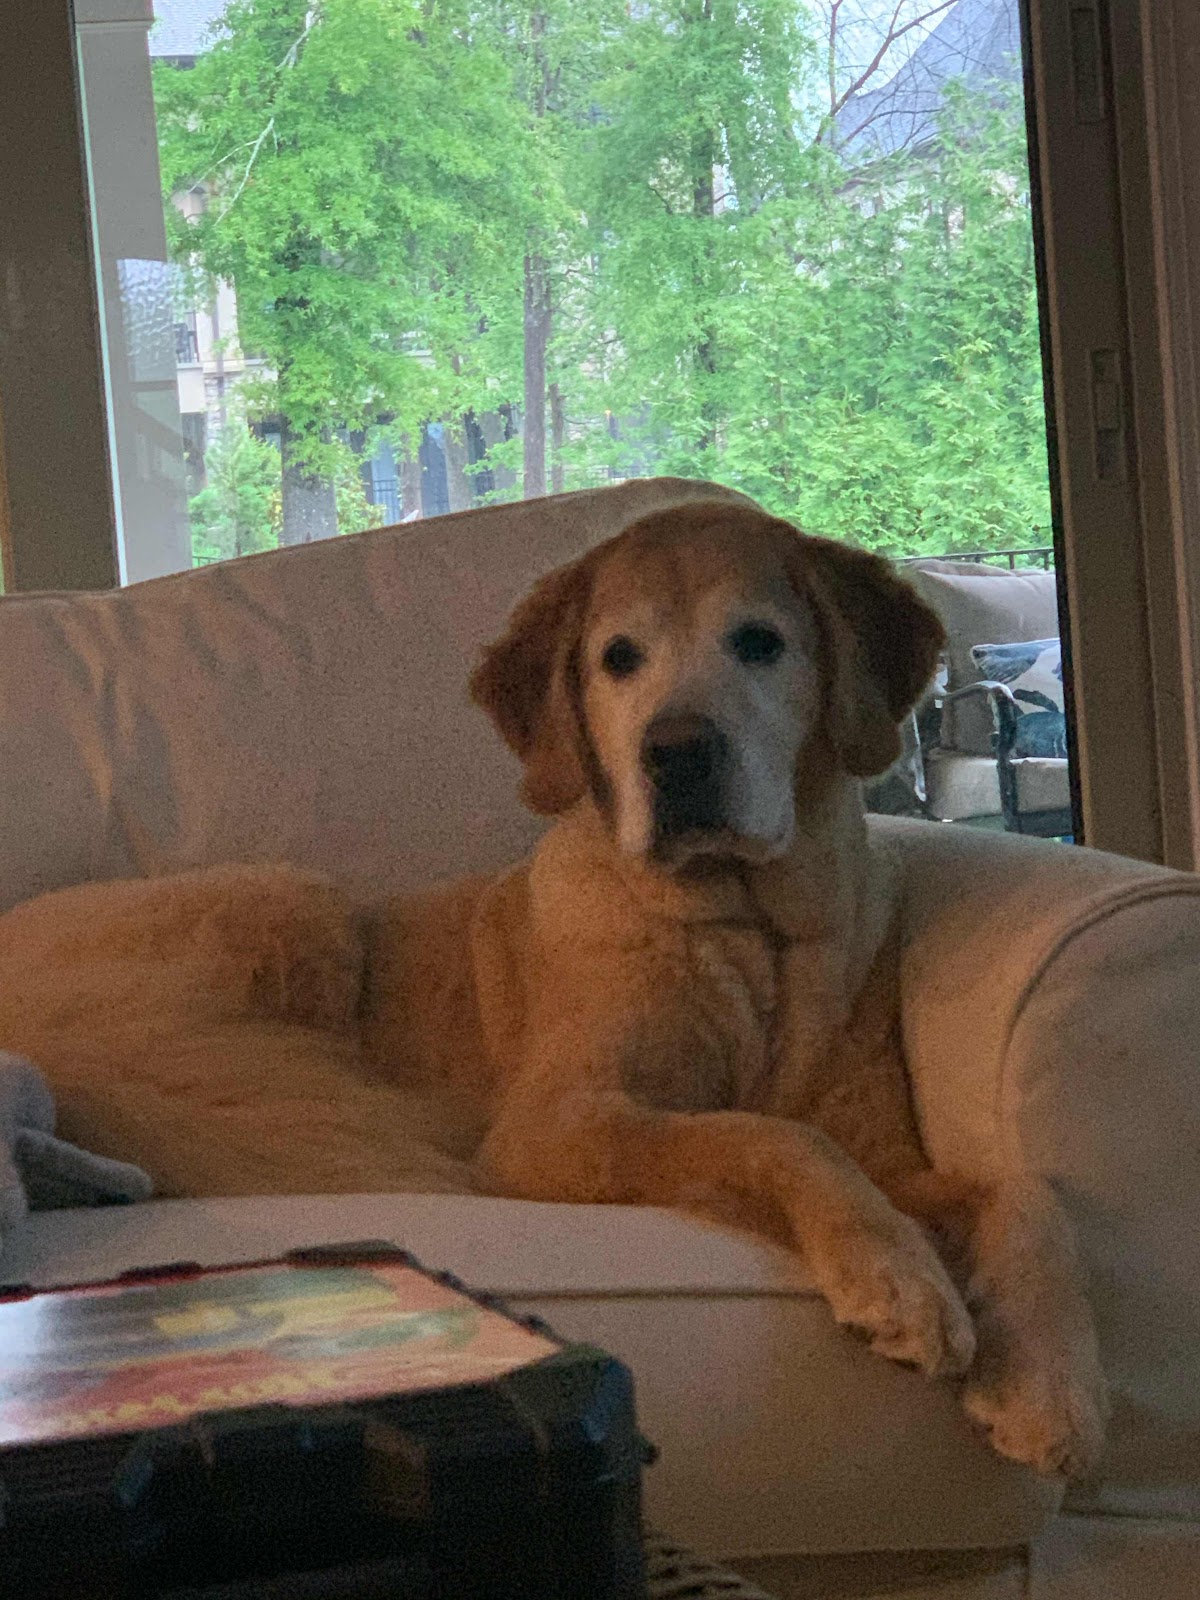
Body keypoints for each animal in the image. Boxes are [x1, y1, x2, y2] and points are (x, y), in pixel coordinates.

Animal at [0, 500, 1107, 1477]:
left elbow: (1022, 1188)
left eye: (760, 643)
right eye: (618, 658)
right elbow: (770, 1136)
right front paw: (897, 1277)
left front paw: (1048, 1385)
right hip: (297, 903)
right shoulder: (556, 1122)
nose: (677, 753)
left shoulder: (889, 1151)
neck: (741, 928)